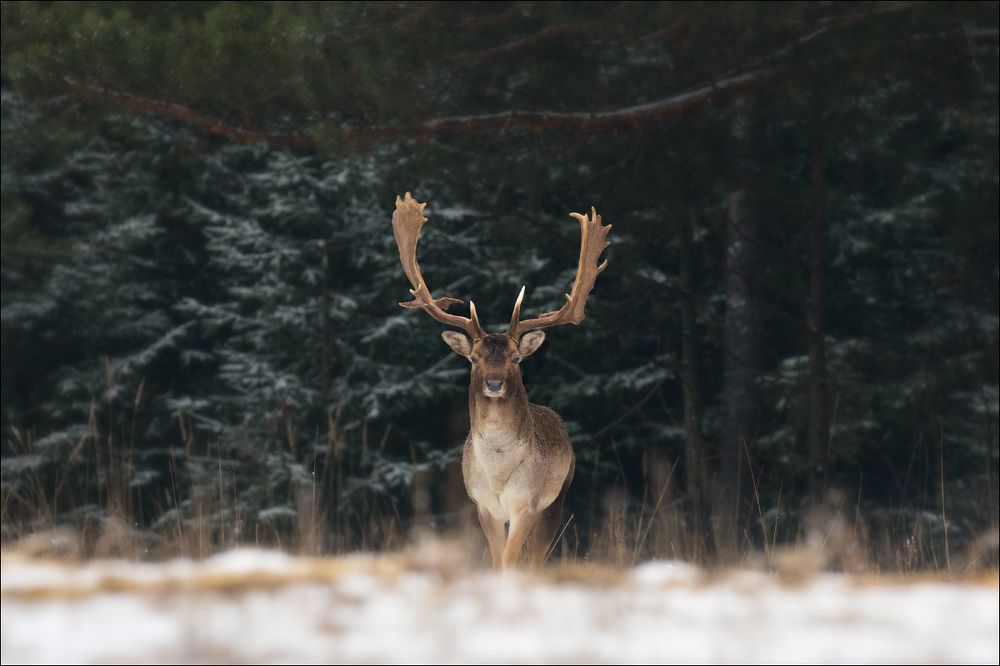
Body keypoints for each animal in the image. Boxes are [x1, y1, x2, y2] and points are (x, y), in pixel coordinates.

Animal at [391, 192, 611, 570]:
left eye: (516, 358)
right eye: (474, 358)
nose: (494, 383)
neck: (496, 472)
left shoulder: (527, 504)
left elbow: (511, 560)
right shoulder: (484, 507)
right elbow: (496, 560)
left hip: (558, 496)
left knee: (537, 557)